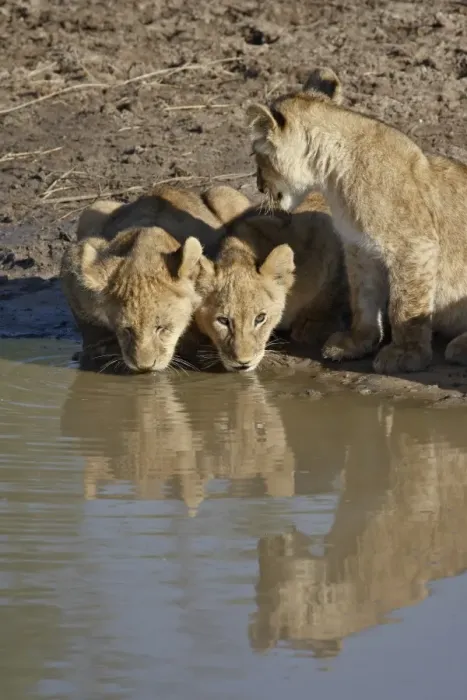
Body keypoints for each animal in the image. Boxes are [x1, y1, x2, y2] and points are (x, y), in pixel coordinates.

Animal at [247, 67, 467, 375]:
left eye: (257, 156)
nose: (257, 185)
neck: (332, 176)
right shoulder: (359, 249)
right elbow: (362, 298)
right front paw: (355, 343)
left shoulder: (413, 246)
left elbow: (405, 305)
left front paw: (406, 353)